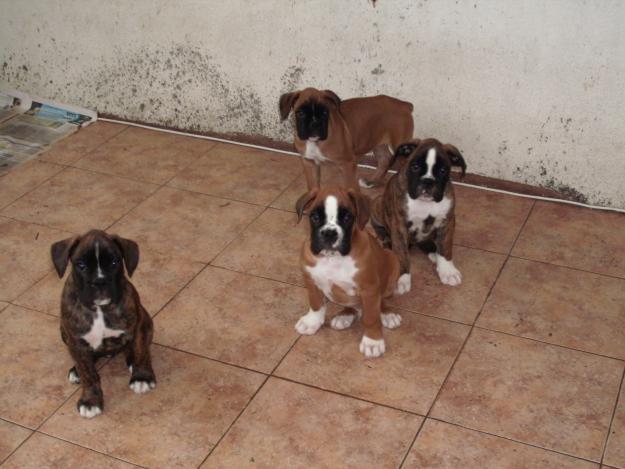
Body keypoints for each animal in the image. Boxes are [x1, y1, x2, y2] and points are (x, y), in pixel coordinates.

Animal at [50, 230, 155, 416]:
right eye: (81, 265)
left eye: (114, 263)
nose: (99, 281)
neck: (99, 309)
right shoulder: (76, 341)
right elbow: (88, 374)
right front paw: (90, 400)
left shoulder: (139, 326)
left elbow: (141, 350)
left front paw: (141, 377)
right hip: (63, 331)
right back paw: (76, 371)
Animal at [280, 88, 414, 190]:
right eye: (300, 113)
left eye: (324, 113)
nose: (314, 124)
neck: (316, 142)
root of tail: (403, 105)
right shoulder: (309, 163)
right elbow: (313, 187)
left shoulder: (347, 164)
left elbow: (349, 188)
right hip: (377, 142)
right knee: (384, 159)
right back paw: (371, 182)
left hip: (400, 145)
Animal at [292, 185, 400, 356]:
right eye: (315, 217)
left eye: (347, 217)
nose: (329, 233)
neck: (332, 259)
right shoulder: (311, 280)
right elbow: (315, 303)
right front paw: (312, 321)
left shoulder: (369, 289)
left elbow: (371, 317)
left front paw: (372, 341)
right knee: (350, 304)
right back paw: (345, 315)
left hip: (392, 260)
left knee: (381, 300)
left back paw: (387, 314)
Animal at [368, 138, 466, 292]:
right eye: (415, 167)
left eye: (443, 170)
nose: (428, 181)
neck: (425, 203)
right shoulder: (399, 225)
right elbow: (401, 253)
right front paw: (402, 277)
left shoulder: (447, 221)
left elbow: (445, 247)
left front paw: (447, 270)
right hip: (377, 203)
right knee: (382, 232)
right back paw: (387, 242)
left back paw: (433, 252)